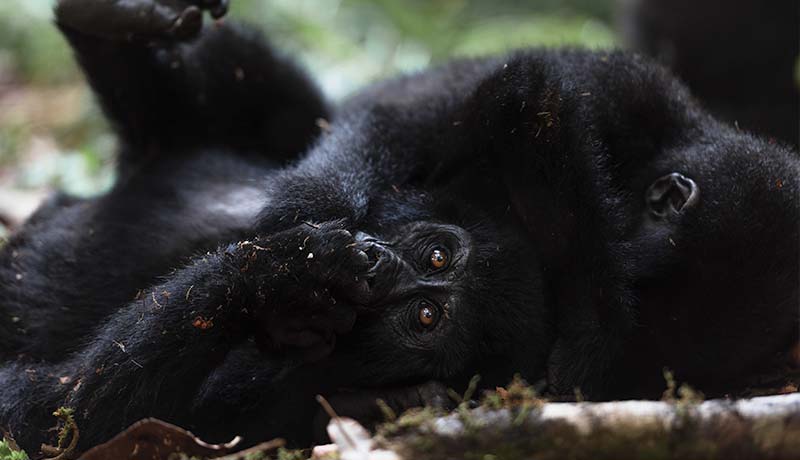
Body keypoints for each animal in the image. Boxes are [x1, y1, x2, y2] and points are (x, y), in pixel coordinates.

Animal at [0, 0, 796, 454]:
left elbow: (59, 413)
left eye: (426, 316)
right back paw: (115, 21)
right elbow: (482, 97)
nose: (382, 272)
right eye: (437, 257)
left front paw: (277, 278)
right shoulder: (628, 93)